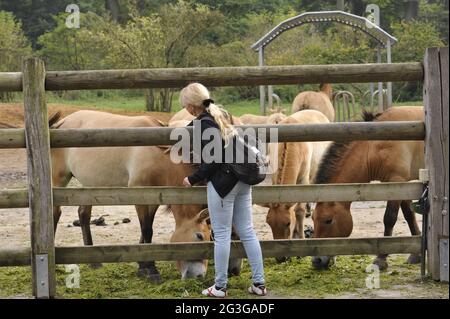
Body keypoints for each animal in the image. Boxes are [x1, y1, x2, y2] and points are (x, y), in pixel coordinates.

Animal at [312, 107, 424, 270]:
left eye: (328, 220)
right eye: (312, 218)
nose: (317, 260)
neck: (375, 146)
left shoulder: (396, 180)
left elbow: (389, 218)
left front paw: (381, 258)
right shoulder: (401, 184)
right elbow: (409, 215)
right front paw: (416, 254)